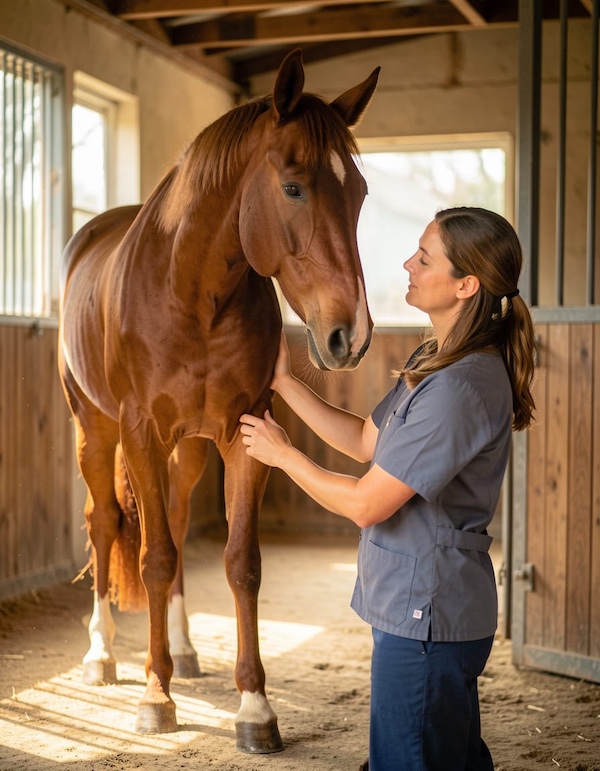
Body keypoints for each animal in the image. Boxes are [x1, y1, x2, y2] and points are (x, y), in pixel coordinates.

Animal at [58, 48, 379, 753]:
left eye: (361, 193)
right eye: (294, 187)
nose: (351, 336)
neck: (193, 292)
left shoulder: (245, 433)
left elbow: (240, 564)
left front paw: (255, 707)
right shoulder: (141, 433)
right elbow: (151, 559)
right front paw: (155, 696)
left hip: (191, 449)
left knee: (176, 523)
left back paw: (181, 649)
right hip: (96, 429)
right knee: (105, 523)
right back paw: (102, 654)